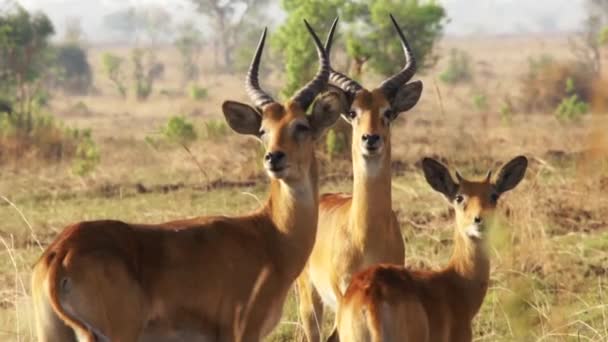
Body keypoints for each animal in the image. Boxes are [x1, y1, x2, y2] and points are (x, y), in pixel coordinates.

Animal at [32, 21, 346, 342]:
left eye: (301, 125)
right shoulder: (241, 334)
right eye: (263, 130)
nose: (274, 158)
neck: (269, 235)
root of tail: (61, 253)